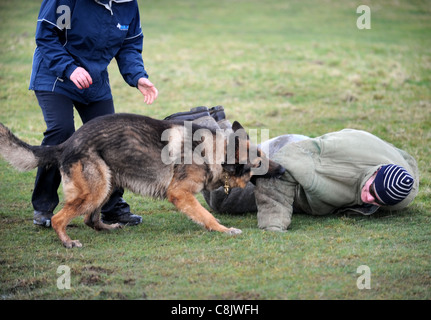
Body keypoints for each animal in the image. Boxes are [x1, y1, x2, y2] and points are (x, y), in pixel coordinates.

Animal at [0, 114, 286, 249]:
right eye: (259, 164)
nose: (283, 169)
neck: (216, 152)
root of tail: (66, 144)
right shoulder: (180, 194)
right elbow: (206, 215)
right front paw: (224, 230)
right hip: (95, 189)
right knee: (61, 218)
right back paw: (67, 241)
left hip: (107, 184)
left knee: (90, 218)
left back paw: (109, 227)